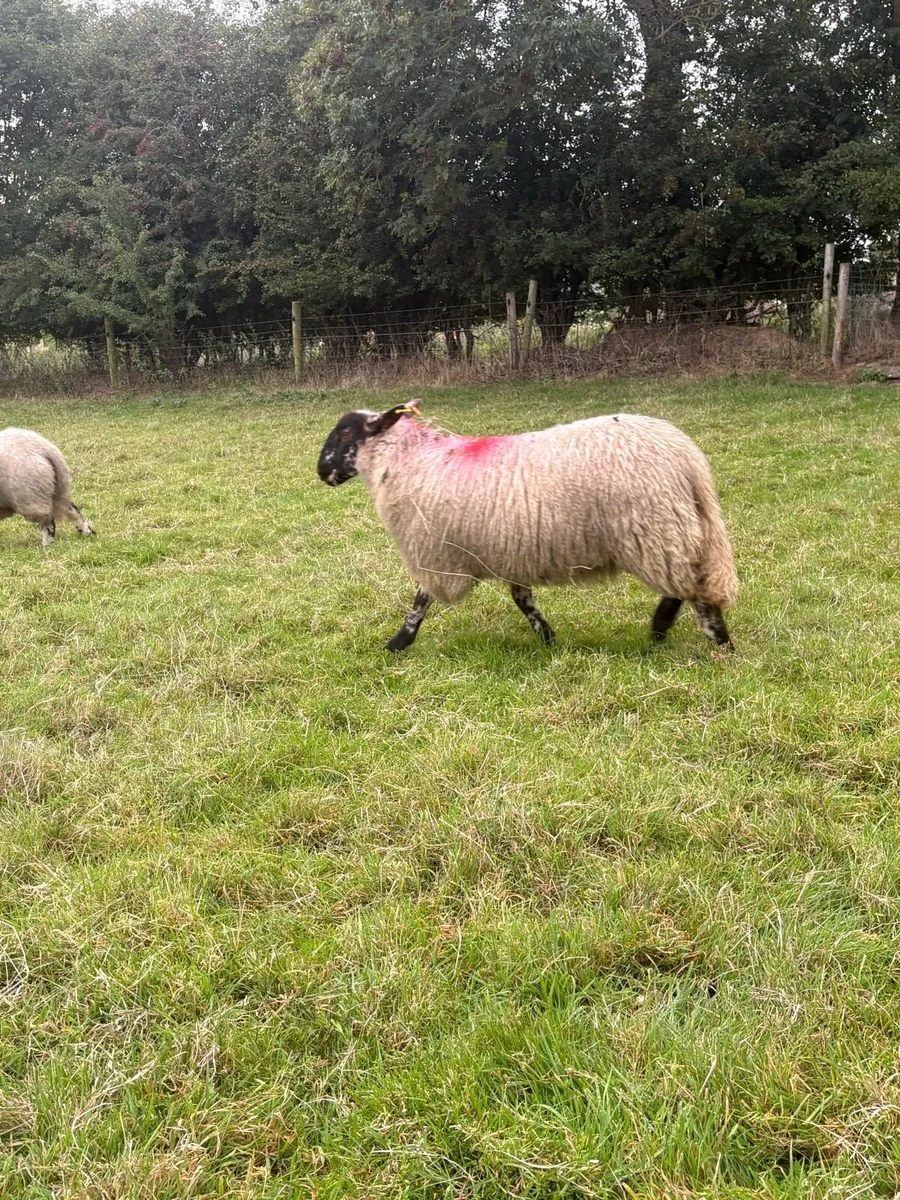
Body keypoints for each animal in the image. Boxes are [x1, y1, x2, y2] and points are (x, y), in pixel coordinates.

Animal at [317, 400, 737, 652]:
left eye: (346, 432)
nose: (321, 472)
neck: (409, 461)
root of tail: (687, 459)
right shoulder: (509, 548)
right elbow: (523, 599)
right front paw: (548, 638)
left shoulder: (437, 549)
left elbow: (421, 599)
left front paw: (398, 643)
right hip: (674, 529)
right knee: (688, 584)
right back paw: (667, 631)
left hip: (656, 529)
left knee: (691, 589)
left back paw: (711, 640)